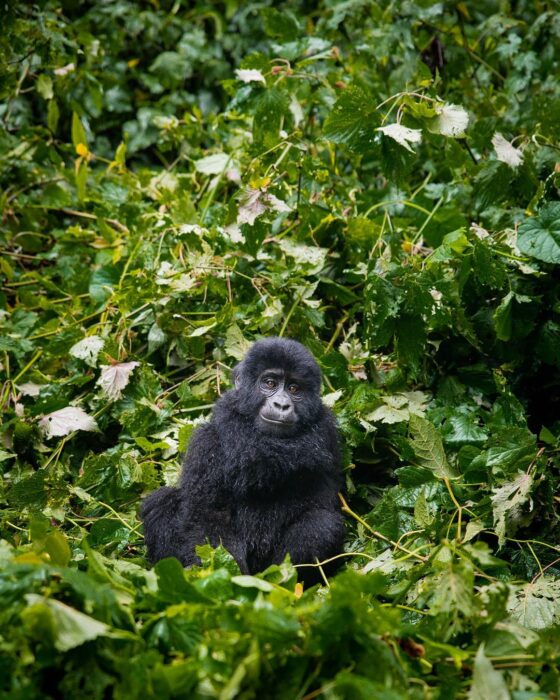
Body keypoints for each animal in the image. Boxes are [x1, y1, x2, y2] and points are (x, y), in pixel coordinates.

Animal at [140, 340, 346, 584]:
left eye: (294, 389)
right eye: (269, 383)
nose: (281, 405)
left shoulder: (326, 432)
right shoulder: (207, 441)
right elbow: (208, 516)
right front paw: (225, 577)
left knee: (322, 524)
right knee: (161, 501)